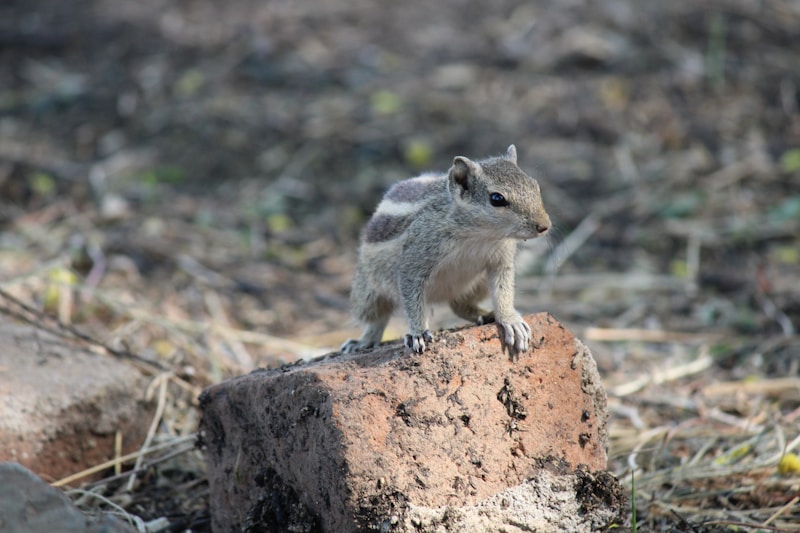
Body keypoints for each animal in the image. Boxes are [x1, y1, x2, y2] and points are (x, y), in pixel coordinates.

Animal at [338, 143, 552, 356]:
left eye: (535, 185)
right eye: (497, 198)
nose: (545, 226)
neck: (479, 234)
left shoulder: (501, 261)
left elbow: (503, 291)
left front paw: (510, 320)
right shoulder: (415, 259)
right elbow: (411, 295)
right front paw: (417, 332)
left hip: (477, 284)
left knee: (459, 305)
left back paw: (486, 315)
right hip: (367, 294)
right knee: (376, 320)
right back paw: (362, 342)